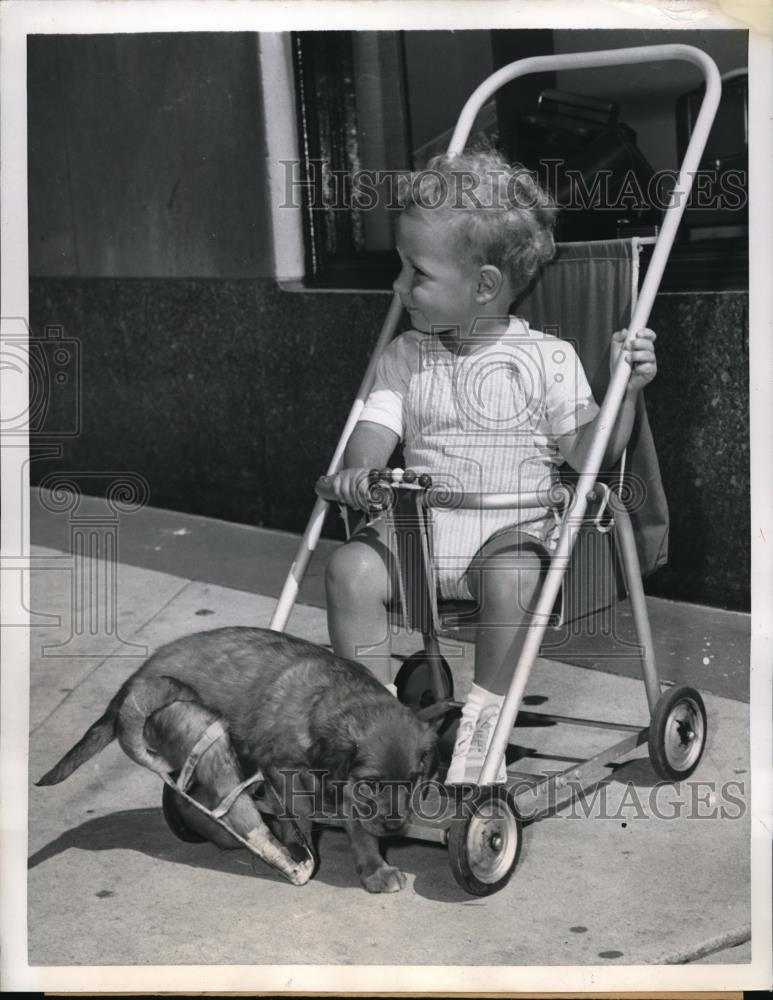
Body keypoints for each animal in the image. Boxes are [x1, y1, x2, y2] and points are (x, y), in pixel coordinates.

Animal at [37, 628, 434, 896]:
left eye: (413, 780)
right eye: (372, 783)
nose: (396, 826)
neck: (324, 698)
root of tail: (132, 683)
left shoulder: (343, 785)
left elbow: (360, 828)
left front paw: (374, 870)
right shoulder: (286, 772)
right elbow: (300, 817)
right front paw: (299, 855)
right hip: (199, 729)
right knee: (204, 801)